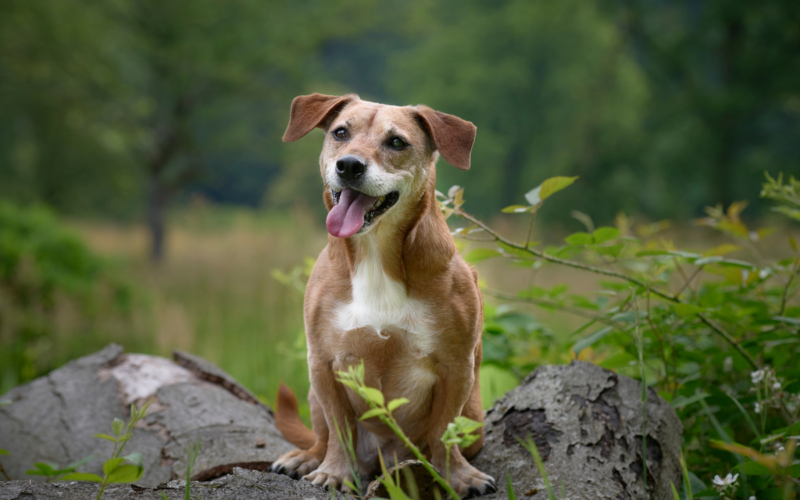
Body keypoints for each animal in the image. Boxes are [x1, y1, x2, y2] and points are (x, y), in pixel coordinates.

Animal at [268, 93, 494, 496]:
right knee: (322, 436)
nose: (349, 165)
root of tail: (384, 458)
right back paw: (307, 457)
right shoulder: (323, 364)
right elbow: (340, 428)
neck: (377, 252)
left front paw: (456, 476)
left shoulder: (456, 368)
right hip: (313, 396)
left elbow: (444, 431)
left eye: (397, 142)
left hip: (473, 415)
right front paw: (333, 472)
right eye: (341, 133)